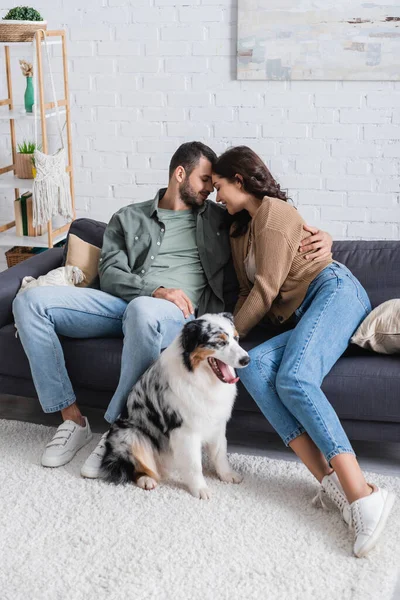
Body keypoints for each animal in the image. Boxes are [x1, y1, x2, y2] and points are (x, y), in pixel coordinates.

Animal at [100, 312, 250, 500]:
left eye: (236, 338)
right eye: (220, 342)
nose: (247, 359)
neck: (201, 379)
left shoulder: (217, 424)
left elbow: (220, 454)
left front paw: (227, 475)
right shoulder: (185, 431)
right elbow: (194, 465)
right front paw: (200, 489)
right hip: (131, 435)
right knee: (134, 465)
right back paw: (146, 480)